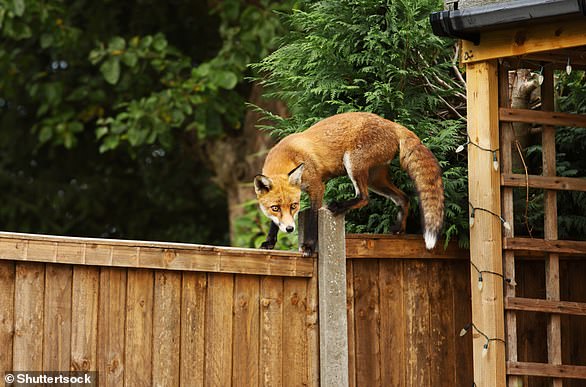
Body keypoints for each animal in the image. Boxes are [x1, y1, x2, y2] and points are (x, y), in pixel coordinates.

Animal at [252, 112, 442, 258]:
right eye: (275, 208)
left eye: (294, 206)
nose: (290, 229)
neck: (288, 154)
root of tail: (392, 123)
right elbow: (274, 223)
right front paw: (269, 242)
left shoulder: (317, 187)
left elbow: (313, 218)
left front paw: (309, 246)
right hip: (375, 180)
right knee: (403, 197)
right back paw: (399, 229)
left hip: (353, 164)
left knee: (364, 197)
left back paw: (339, 206)